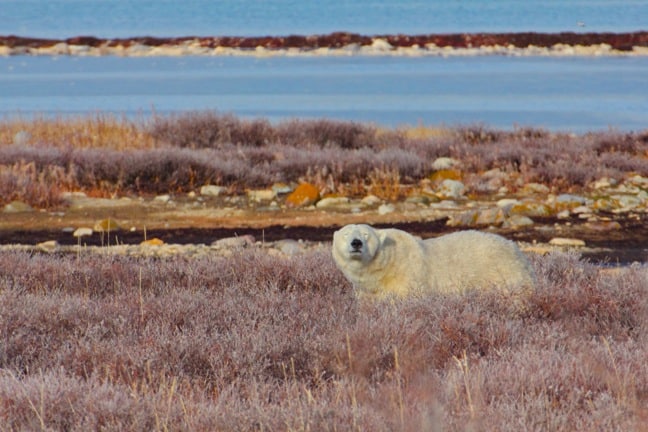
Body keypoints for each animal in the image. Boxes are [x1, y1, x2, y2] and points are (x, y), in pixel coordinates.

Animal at [332, 224, 536, 298]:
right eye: (346, 234)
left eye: (366, 234)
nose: (356, 243)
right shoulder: (368, 292)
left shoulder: (408, 277)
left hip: (502, 273)